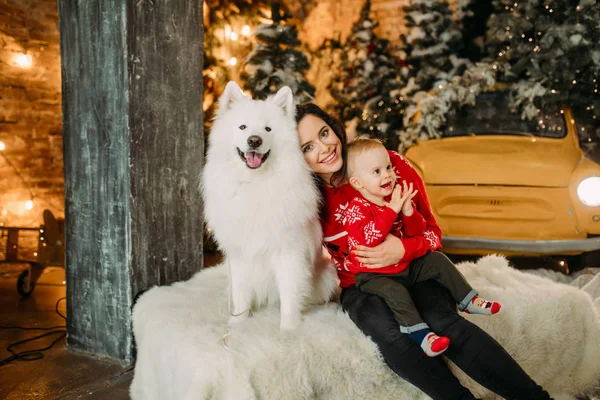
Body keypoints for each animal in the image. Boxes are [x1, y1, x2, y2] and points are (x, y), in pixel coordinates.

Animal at [199, 81, 336, 332]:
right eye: (243, 127)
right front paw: (237, 324)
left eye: (268, 129)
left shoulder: (289, 251)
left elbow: (290, 295)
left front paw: (288, 330)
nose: (254, 140)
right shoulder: (240, 254)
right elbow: (241, 294)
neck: (256, 182)